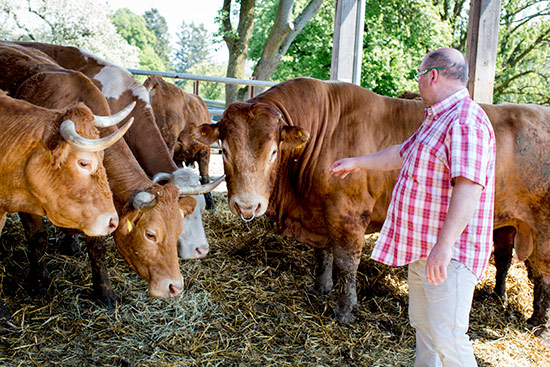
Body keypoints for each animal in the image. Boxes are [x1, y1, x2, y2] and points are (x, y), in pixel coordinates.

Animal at [195, 77, 550, 334]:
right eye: (224, 149)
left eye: (272, 152)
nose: (246, 205)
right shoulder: (321, 212)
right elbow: (323, 254)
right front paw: (320, 287)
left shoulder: (347, 215)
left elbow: (346, 263)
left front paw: (345, 309)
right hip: (511, 224)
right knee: (508, 259)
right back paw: (501, 297)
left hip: (544, 228)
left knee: (543, 274)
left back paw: (539, 324)